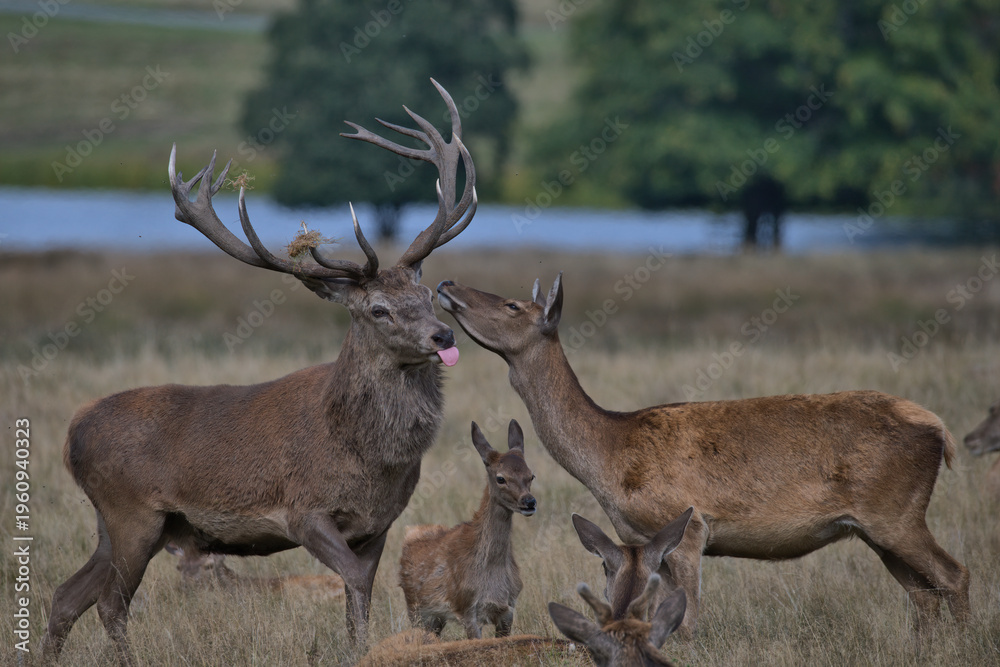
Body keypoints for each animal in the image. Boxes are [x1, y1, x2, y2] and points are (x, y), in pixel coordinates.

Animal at [40, 79, 476, 666]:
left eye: (427, 295)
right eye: (377, 309)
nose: (443, 336)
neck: (368, 457)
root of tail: (72, 432)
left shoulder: (378, 524)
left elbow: (358, 589)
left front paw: (359, 645)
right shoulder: (303, 510)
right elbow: (354, 579)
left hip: (119, 522)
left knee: (67, 596)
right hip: (131, 511)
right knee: (111, 602)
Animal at [398, 420, 537, 639]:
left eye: (531, 475)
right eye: (501, 478)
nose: (529, 502)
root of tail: (410, 533)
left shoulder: (509, 608)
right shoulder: (466, 608)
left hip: (436, 618)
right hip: (416, 610)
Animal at [435, 274, 970, 637]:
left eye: (511, 304)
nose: (446, 283)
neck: (609, 457)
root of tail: (942, 431)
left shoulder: (690, 527)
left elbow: (689, 621)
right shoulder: (643, 540)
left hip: (896, 512)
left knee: (954, 575)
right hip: (877, 528)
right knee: (923, 595)